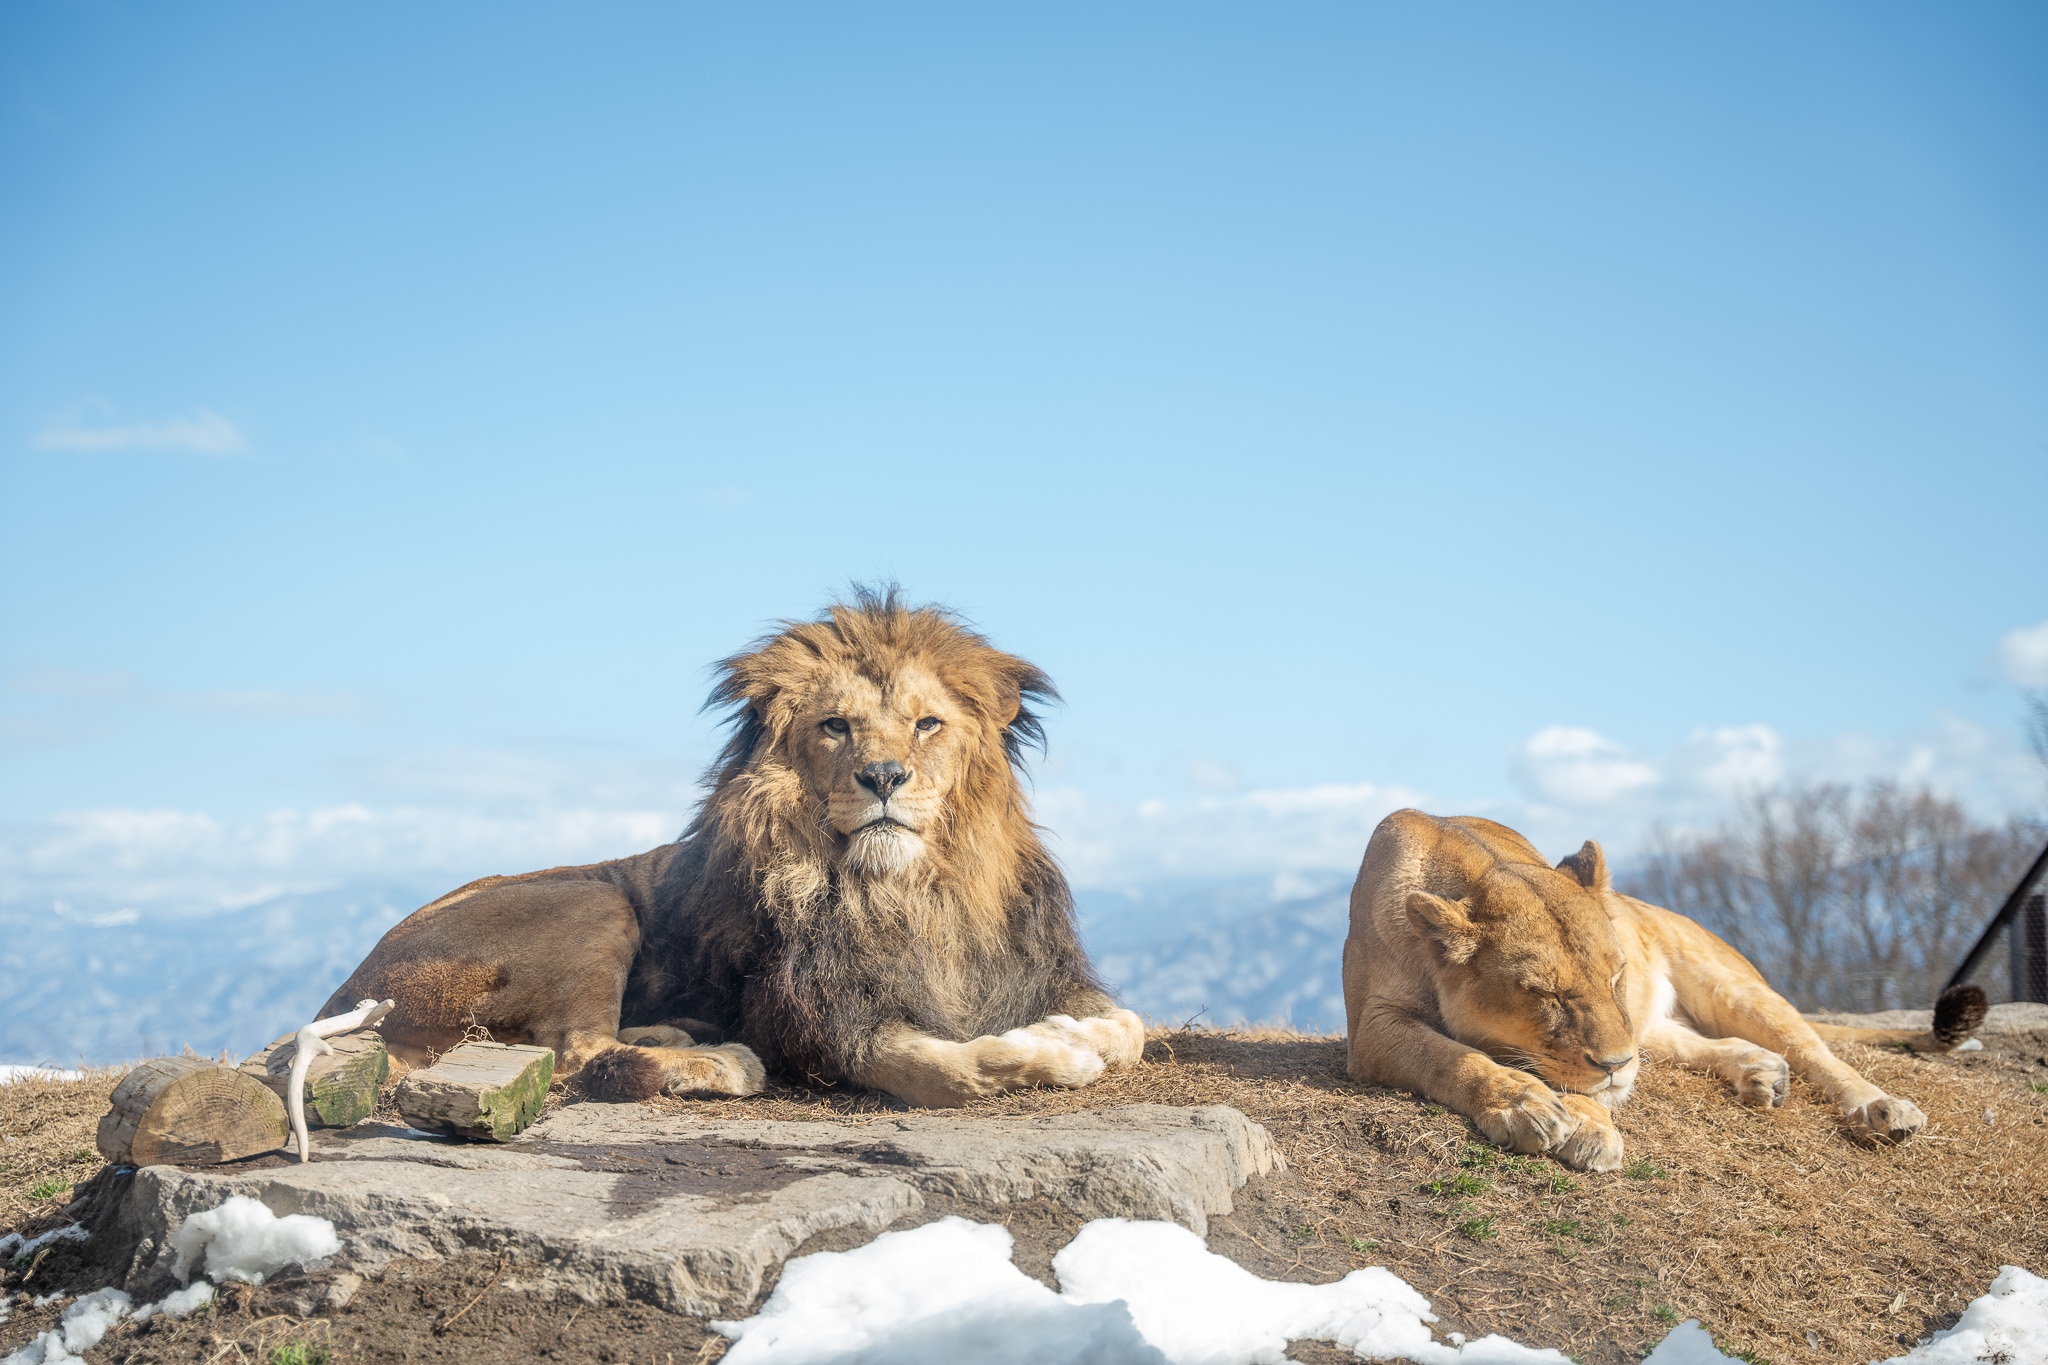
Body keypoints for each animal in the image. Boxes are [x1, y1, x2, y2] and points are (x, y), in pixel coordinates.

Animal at [327, 589, 1146, 1113]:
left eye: (927, 724)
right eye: (836, 726)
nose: (883, 776)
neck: (912, 891)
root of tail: (343, 996)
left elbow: (1131, 1028)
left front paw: (1076, 1030)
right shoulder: (818, 1026)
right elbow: (946, 1069)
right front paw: (1057, 1050)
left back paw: (676, 1033)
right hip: (591, 897)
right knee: (574, 1050)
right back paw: (721, 1059)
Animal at [1343, 810, 1982, 1178]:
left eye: (1616, 975)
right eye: (1547, 994)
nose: (1614, 1062)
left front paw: (1579, 1122)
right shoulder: (1372, 1028)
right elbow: (1452, 1057)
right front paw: (1529, 1105)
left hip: (1730, 985)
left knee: (1814, 1051)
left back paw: (1881, 1108)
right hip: (1658, 1026)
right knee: (1685, 1043)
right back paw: (1759, 1072)